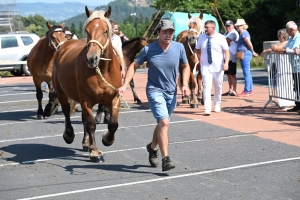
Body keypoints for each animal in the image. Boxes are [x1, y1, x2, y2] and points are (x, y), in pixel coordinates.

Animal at [52, 5, 120, 162]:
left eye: (105, 31)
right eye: (87, 31)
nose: (91, 59)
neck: (102, 71)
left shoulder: (114, 98)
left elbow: (113, 124)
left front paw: (107, 139)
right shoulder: (86, 100)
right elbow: (91, 124)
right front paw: (94, 151)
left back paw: (85, 142)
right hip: (62, 92)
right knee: (66, 111)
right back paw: (69, 135)